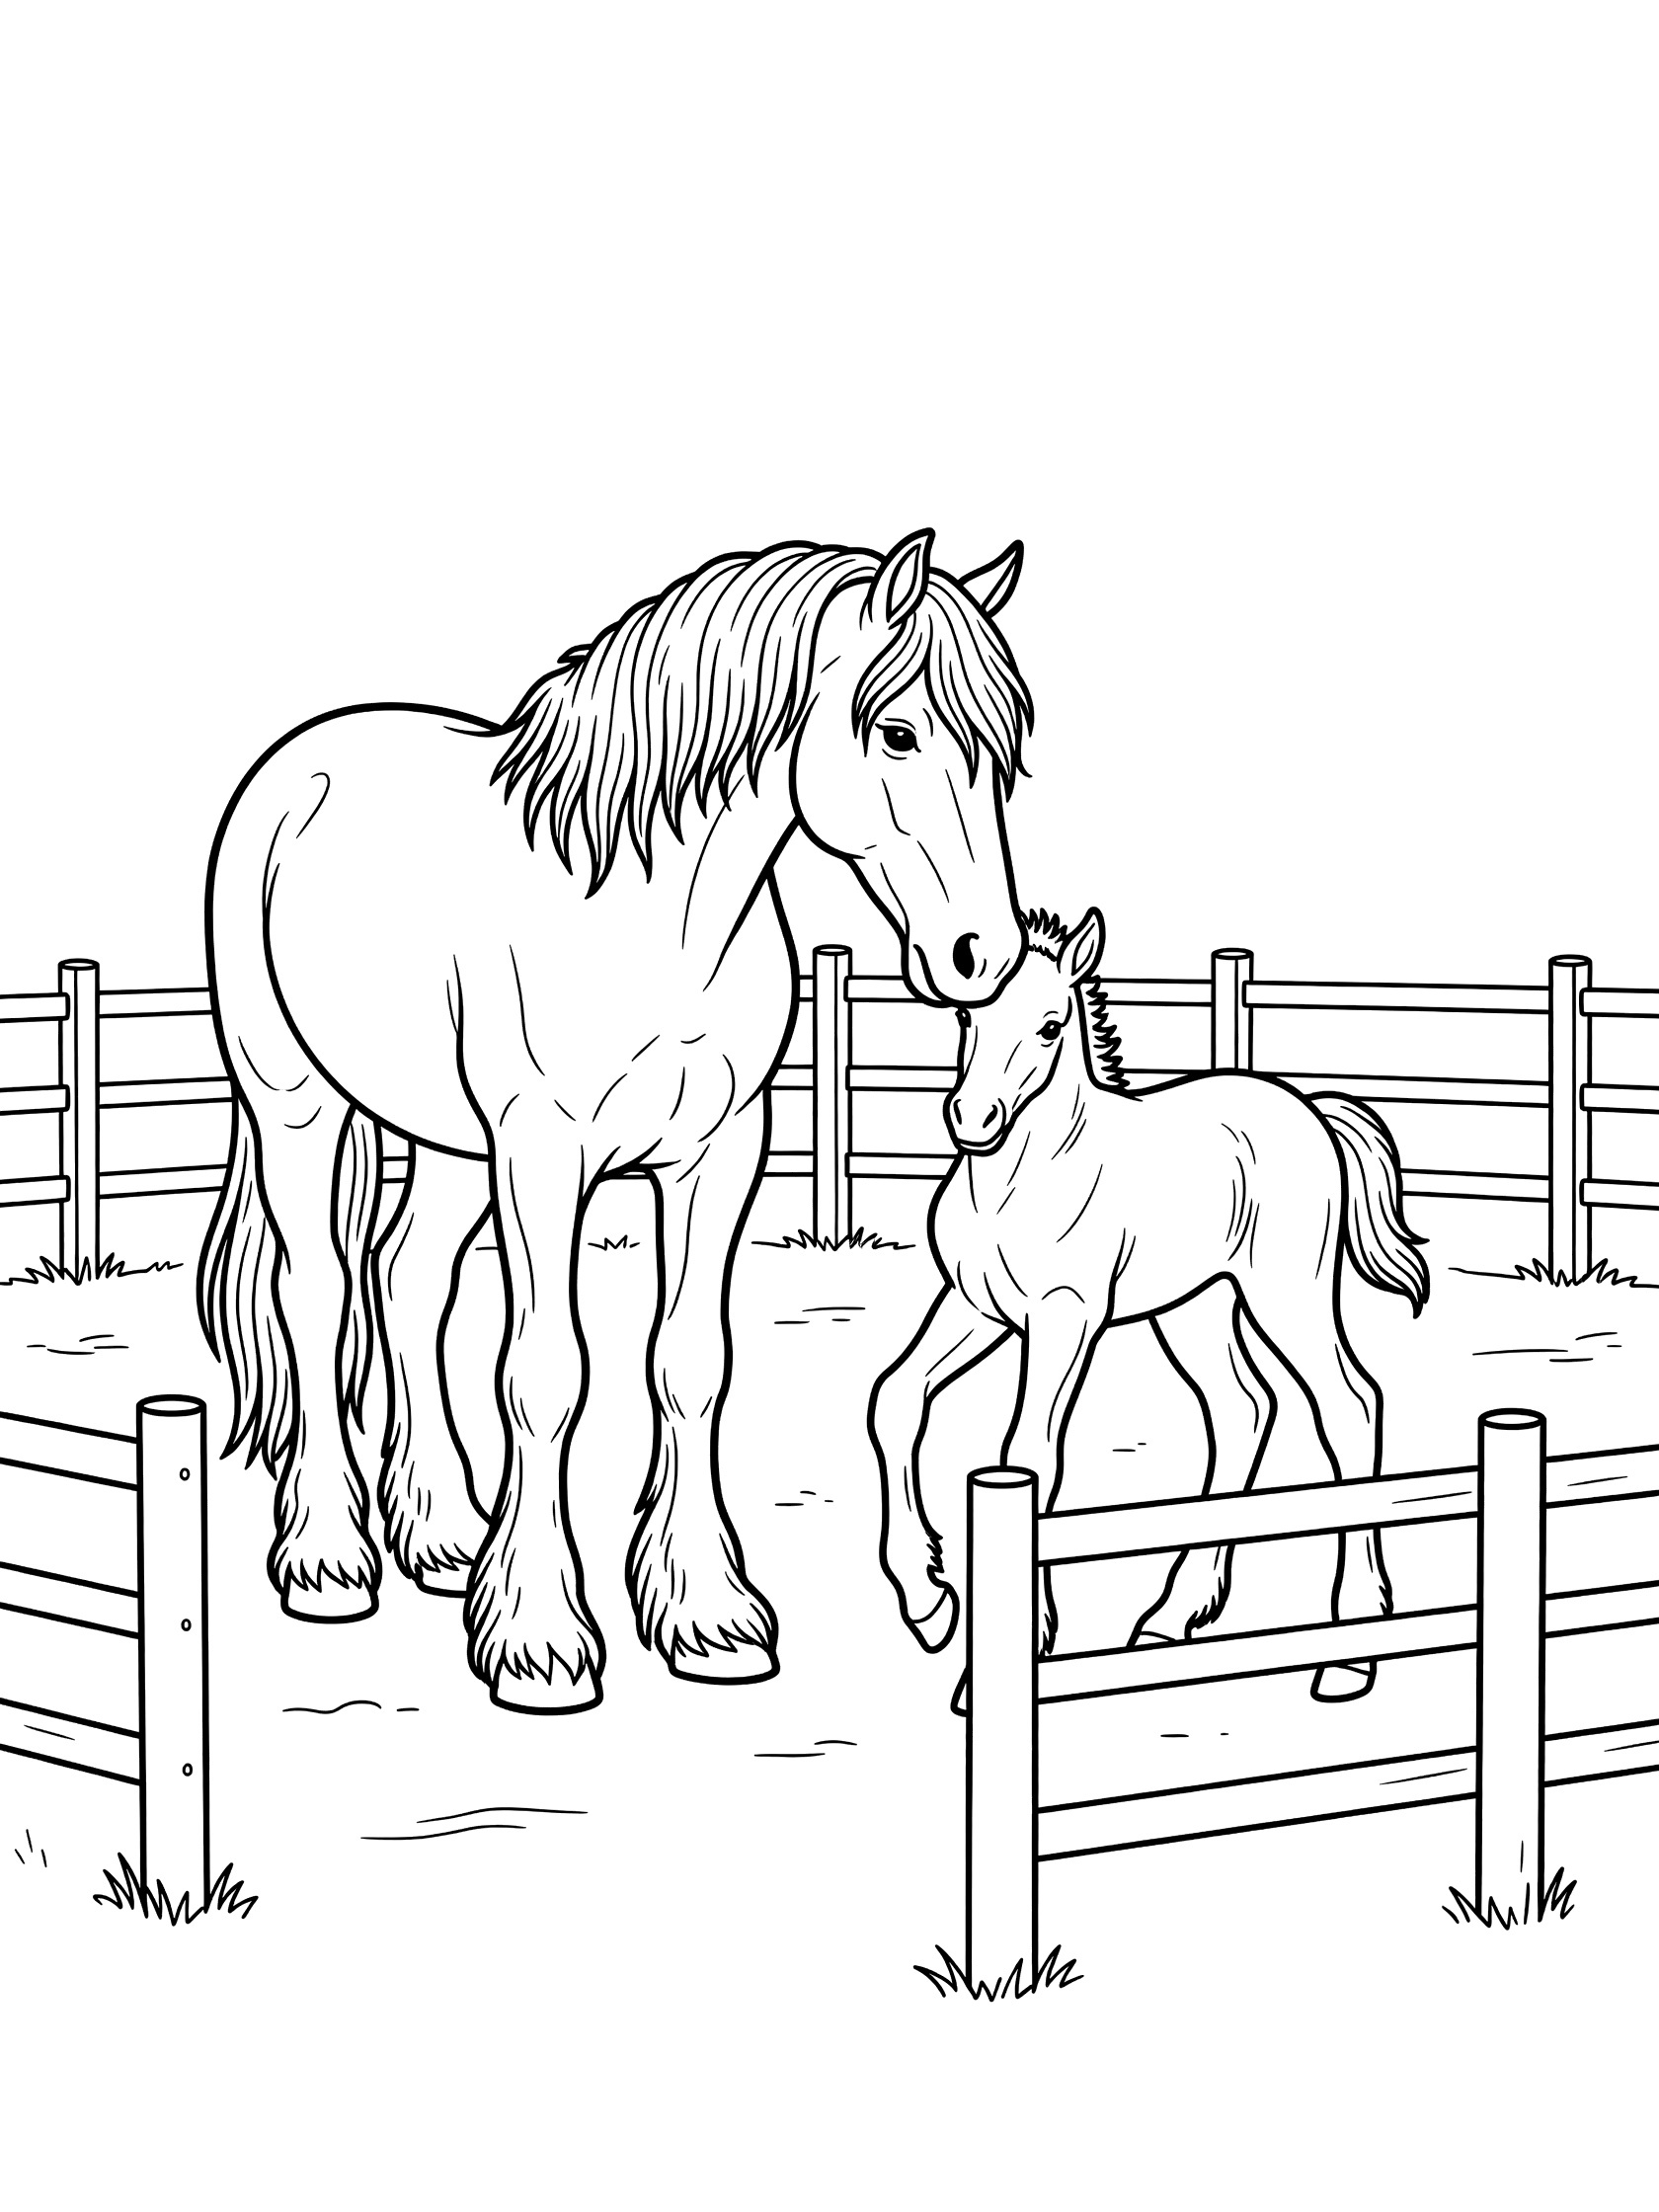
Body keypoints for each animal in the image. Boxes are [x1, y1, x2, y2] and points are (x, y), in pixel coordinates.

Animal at [199, 530, 1033, 1712]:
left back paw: (441, 1538)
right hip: (295, 1108)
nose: (980, 956)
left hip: (450, 1147)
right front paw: (538, 1639)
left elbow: (690, 1363)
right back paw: (328, 1558)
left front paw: (707, 1615)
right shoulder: (542, 1153)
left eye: (1000, 755)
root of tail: (300, 760)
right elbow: (545, 1374)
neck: (655, 925)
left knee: (406, 1280)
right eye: (899, 731)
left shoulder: (717, 1155)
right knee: (316, 1291)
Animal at [869, 905, 1429, 1704]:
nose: (974, 1119)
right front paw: (929, 1602)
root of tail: (1310, 1111)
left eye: (1049, 1026)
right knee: (1242, 1410)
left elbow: (1030, 1451)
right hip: (1195, 1308)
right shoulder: (974, 1308)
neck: (1020, 1179)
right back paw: (1173, 1616)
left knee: (1347, 1404)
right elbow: (893, 1398)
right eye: (967, 1016)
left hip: (1288, 1296)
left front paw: (1004, 1658)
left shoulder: (1064, 1317)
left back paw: (1349, 1655)